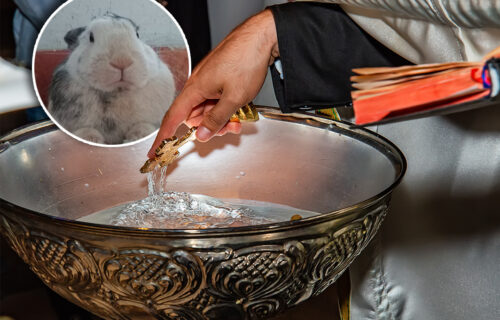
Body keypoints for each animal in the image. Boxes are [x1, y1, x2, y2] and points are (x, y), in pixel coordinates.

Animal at [47, 13, 176, 144]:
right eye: (91, 38)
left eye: (137, 34)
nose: (122, 61)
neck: (116, 91)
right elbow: (85, 131)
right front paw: (93, 139)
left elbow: (143, 126)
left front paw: (135, 138)